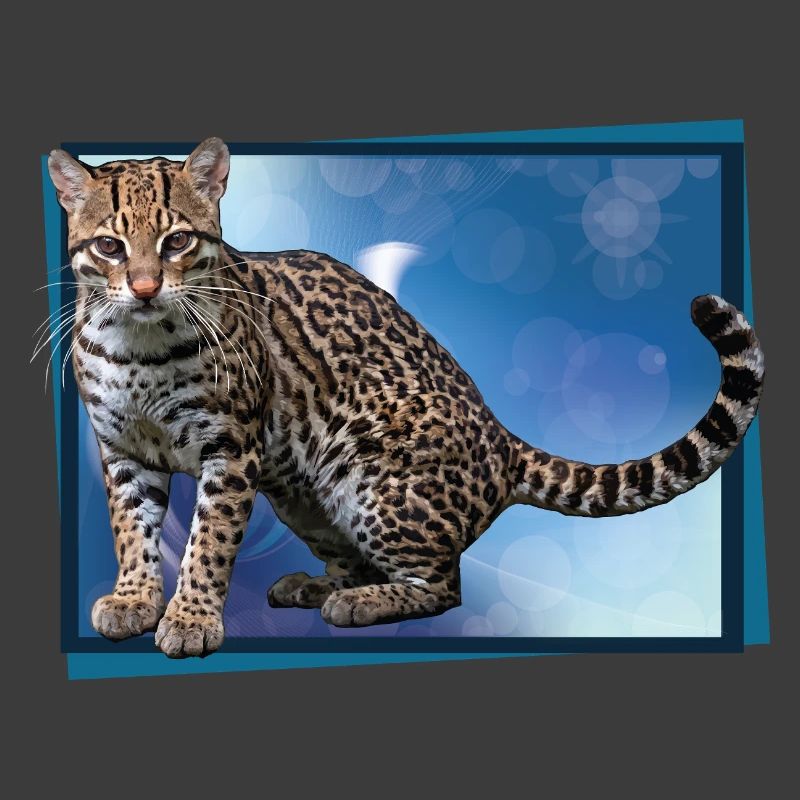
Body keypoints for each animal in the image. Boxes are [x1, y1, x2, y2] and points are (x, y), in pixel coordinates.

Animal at [45, 138, 765, 657]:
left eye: (177, 241)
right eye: (109, 246)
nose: (144, 288)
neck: (138, 346)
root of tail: (503, 439)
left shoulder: (232, 446)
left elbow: (209, 541)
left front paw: (191, 616)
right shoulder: (121, 449)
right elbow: (131, 530)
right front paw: (135, 600)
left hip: (367, 481)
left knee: (444, 584)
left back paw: (359, 603)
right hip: (304, 496)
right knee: (360, 562)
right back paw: (318, 585)